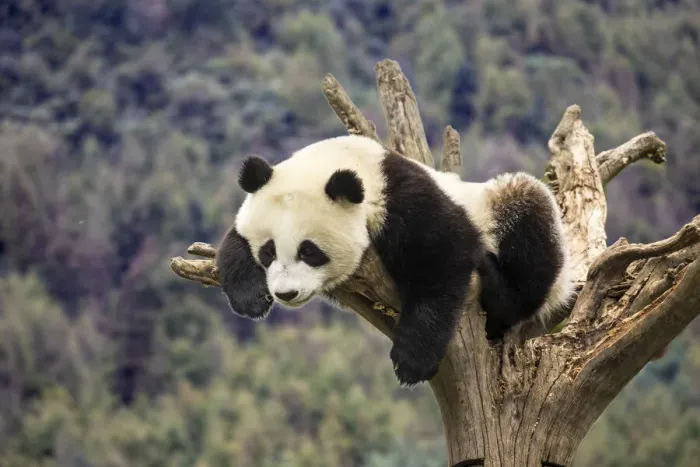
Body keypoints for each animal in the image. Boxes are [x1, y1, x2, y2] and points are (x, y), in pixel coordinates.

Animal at [216, 135, 575, 386]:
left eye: (309, 251)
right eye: (268, 251)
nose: (286, 294)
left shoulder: (406, 200)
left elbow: (442, 261)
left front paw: (412, 361)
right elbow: (233, 239)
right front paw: (249, 297)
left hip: (502, 206)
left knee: (529, 237)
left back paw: (496, 284)